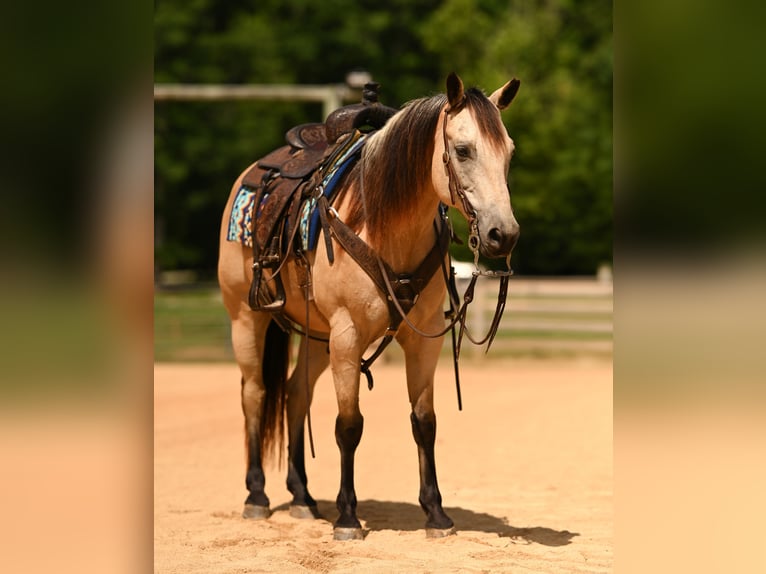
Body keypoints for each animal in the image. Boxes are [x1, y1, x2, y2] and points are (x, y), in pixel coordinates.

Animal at [217, 73, 521, 540]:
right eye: (463, 150)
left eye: (509, 151)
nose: (502, 234)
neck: (383, 226)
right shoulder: (348, 337)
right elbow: (349, 426)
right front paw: (347, 517)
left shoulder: (423, 340)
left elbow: (424, 422)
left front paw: (436, 514)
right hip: (247, 319)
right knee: (255, 394)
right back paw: (257, 496)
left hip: (317, 336)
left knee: (295, 394)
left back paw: (302, 497)